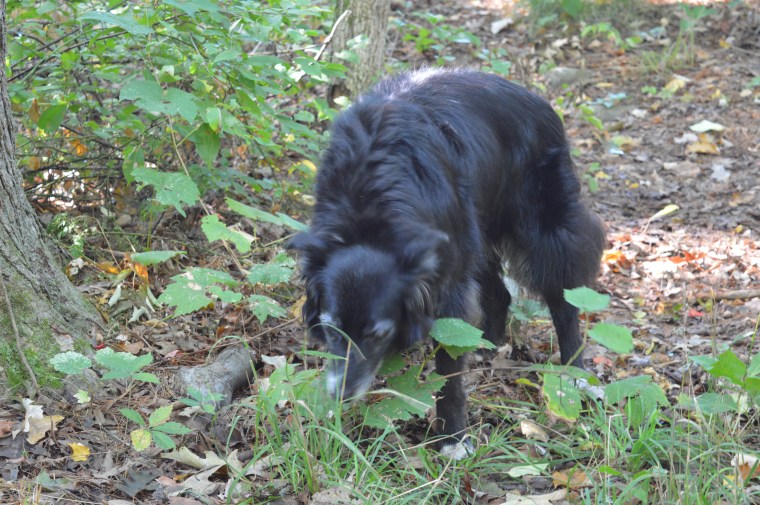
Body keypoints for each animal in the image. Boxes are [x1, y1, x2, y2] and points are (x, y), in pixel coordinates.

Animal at [289, 68, 605, 455]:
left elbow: (449, 362)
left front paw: (453, 437)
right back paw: (486, 345)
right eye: (331, 328)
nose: (340, 396)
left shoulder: (445, 280)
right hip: (477, 231)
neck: (370, 214)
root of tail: (535, 97)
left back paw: (576, 374)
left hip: (544, 226)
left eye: (377, 334)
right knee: (499, 292)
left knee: (565, 298)